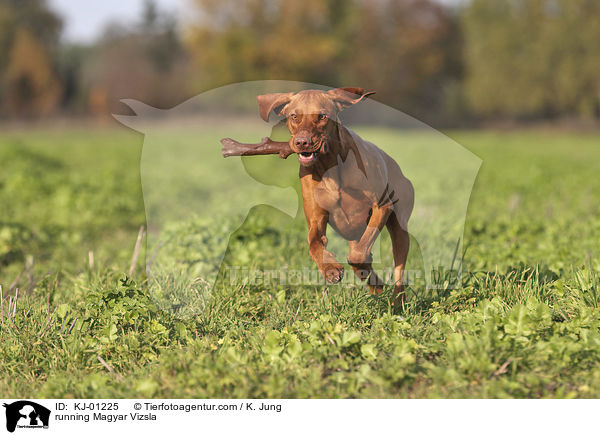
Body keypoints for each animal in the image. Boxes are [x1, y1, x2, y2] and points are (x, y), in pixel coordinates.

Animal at [255, 86, 414, 304]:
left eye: (322, 116)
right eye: (294, 116)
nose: (303, 142)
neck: (330, 166)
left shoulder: (381, 206)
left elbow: (358, 256)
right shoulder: (316, 219)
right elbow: (314, 244)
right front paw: (330, 269)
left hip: (399, 227)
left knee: (397, 268)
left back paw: (397, 300)